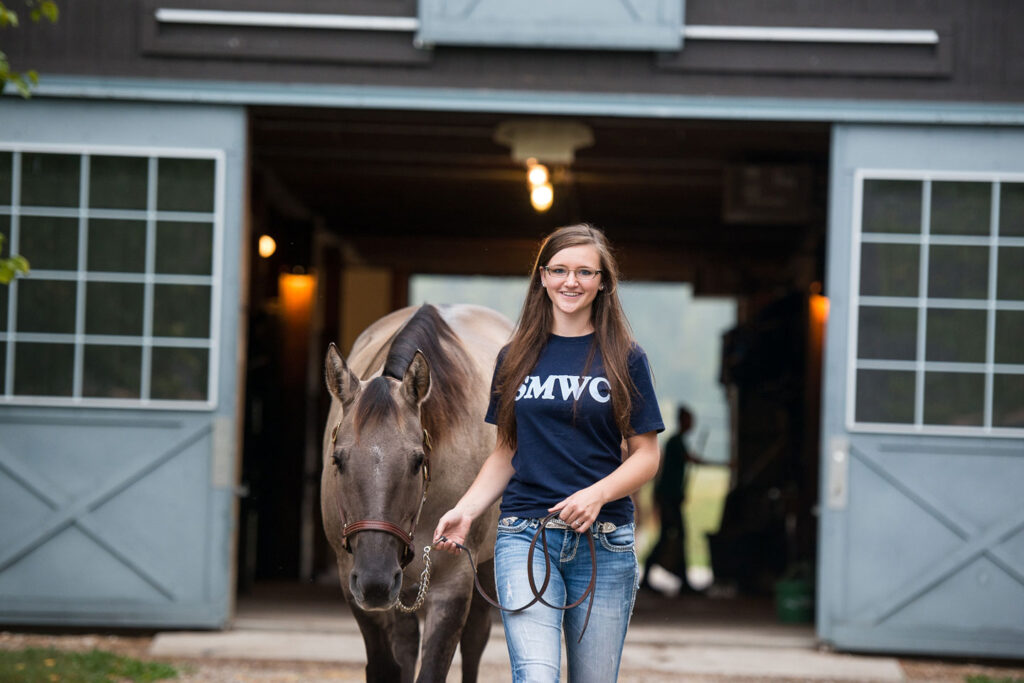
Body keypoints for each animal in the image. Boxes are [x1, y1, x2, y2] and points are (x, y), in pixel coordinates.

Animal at [321, 303, 513, 683]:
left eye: (417, 460)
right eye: (338, 460)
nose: (375, 582)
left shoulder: (454, 582)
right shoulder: (353, 578)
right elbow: (386, 665)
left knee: (475, 638)